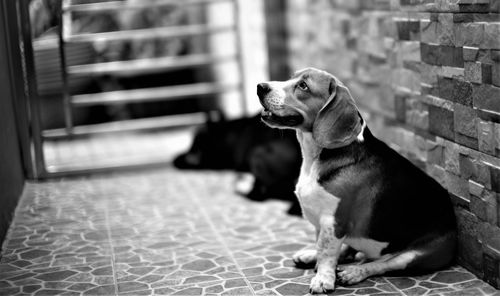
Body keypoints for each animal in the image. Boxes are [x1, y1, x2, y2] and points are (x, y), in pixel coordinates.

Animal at [258, 68, 458, 292]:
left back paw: (354, 272)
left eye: (303, 86)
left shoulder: (334, 220)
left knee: (381, 264)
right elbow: (323, 247)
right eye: (291, 77)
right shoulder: (323, 224)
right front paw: (317, 260)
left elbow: (327, 252)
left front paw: (323, 279)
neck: (315, 157)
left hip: (416, 254)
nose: (260, 87)